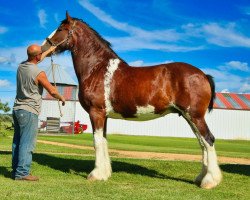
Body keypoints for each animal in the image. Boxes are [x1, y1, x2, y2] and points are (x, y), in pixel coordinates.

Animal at [42, 12, 222, 189]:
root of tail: (203, 75)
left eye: (60, 29)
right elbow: (104, 141)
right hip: (189, 117)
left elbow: (97, 142)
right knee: (202, 143)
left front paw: (96, 175)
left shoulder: (96, 112)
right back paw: (201, 178)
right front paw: (105, 173)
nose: (43, 47)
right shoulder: (104, 116)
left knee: (208, 140)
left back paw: (209, 181)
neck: (97, 68)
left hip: (195, 116)